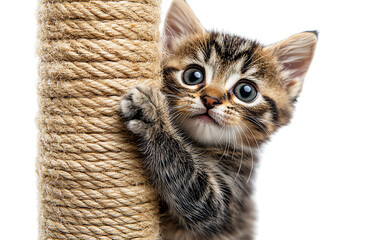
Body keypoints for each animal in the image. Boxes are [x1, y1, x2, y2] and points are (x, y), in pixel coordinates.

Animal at [121, 0, 318, 239]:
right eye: (193, 76)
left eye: (246, 91)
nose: (210, 99)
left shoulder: (225, 199)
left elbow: (192, 182)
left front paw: (154, 117)